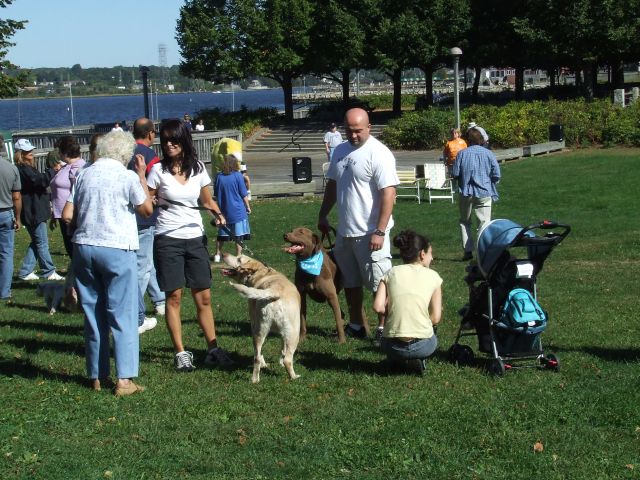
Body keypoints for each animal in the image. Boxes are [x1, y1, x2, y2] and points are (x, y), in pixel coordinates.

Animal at [221, 252, 301, 383]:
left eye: (239, 258)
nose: (223, 254)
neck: (259, 272)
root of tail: (274, 291)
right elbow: (283, 350)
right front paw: (281, 362)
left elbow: (281, 348)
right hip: (294, 334)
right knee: (288, 360)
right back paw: (294, 377)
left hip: (259, 331)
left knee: (257, 357)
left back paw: (255, 379)